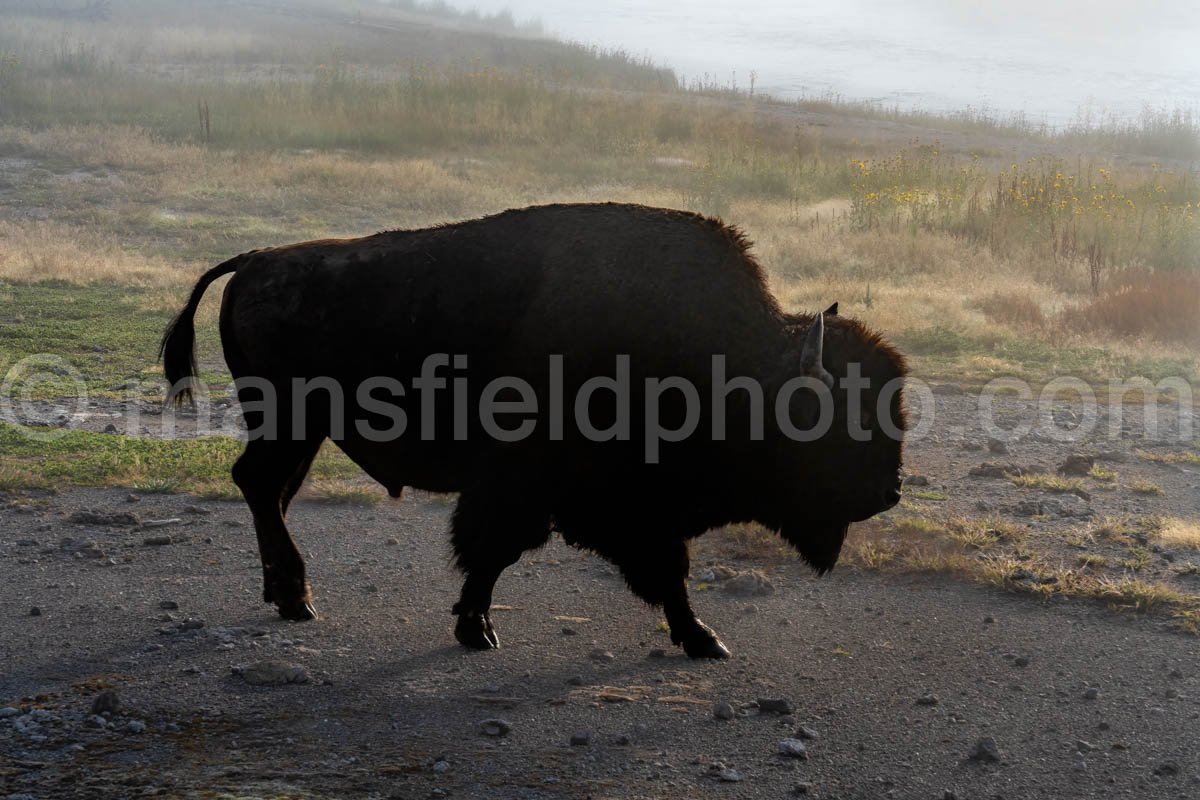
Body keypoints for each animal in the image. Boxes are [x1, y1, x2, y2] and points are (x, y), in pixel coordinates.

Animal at [162, 203, 907, 662]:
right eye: (837, 421)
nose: (889, 492)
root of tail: (254, 260)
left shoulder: (621, 507)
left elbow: (653, 570)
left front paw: (701, 640)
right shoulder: (538, 492)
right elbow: (499, 553)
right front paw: (478, 629)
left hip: (301, 430)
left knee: (271, 492)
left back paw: (287, 595)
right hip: (289, 423)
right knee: (259, 485)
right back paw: (296, 598)